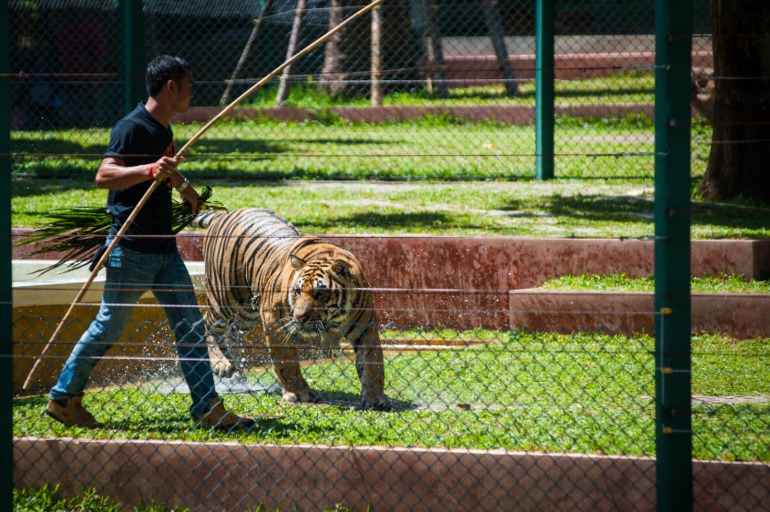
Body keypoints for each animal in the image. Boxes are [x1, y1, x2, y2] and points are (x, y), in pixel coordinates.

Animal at [190, 207, 390, 411]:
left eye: (320, 293)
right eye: (297, 291)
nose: (299, 317)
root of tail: (224, 213)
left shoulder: (365, 329)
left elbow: (373, 364)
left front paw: (375, 398)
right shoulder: (274, 321)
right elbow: (286, 362)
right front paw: (298, 393)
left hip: (248, 313)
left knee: (232, 332)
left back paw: (236, 373)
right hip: (223, 295)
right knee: (208, 324)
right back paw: (221, 364)